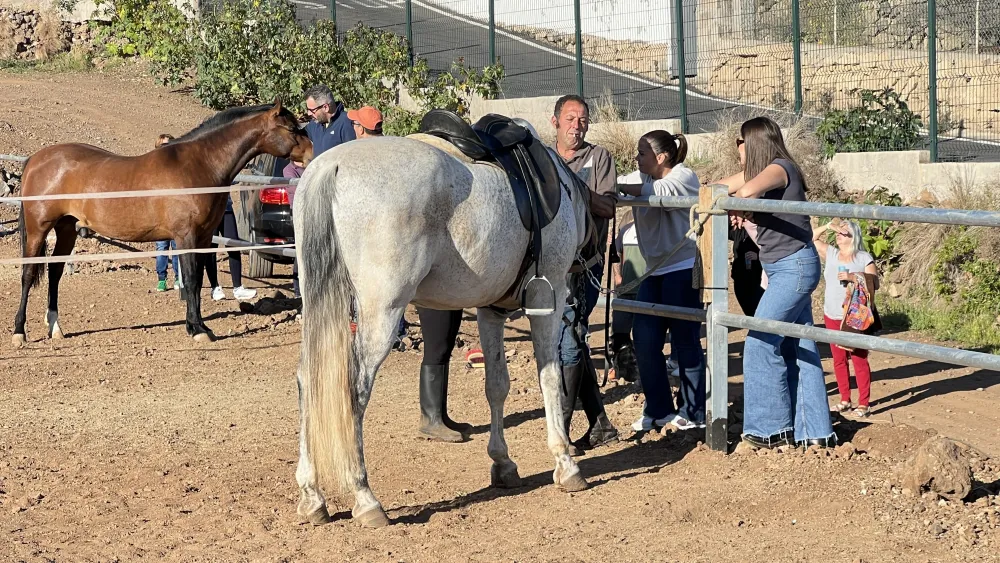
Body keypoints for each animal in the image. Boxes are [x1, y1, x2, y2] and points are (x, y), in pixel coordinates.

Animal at [12, 100, 313, 348]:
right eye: (292, 128)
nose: (311, 154)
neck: (200, 164)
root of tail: (36, 159)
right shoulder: (186, 236)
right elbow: (190, 280)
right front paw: (197, 330)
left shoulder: (203, 238)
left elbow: (196, 281)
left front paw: (200, 326)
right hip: (38, 229)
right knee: (28, 274)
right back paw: (19, 332)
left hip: (66, 229)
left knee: (54, 273)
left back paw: (55, 327)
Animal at [292, 120, 597, 527]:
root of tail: (333, 166)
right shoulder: (545, 297)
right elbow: (549, 378)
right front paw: (565, 463)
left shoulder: (490, 310)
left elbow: (497, 385)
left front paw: (503, 464)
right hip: (383, 311)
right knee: (354, 389)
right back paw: (365, 496)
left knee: (309, 381)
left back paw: (312, 496)